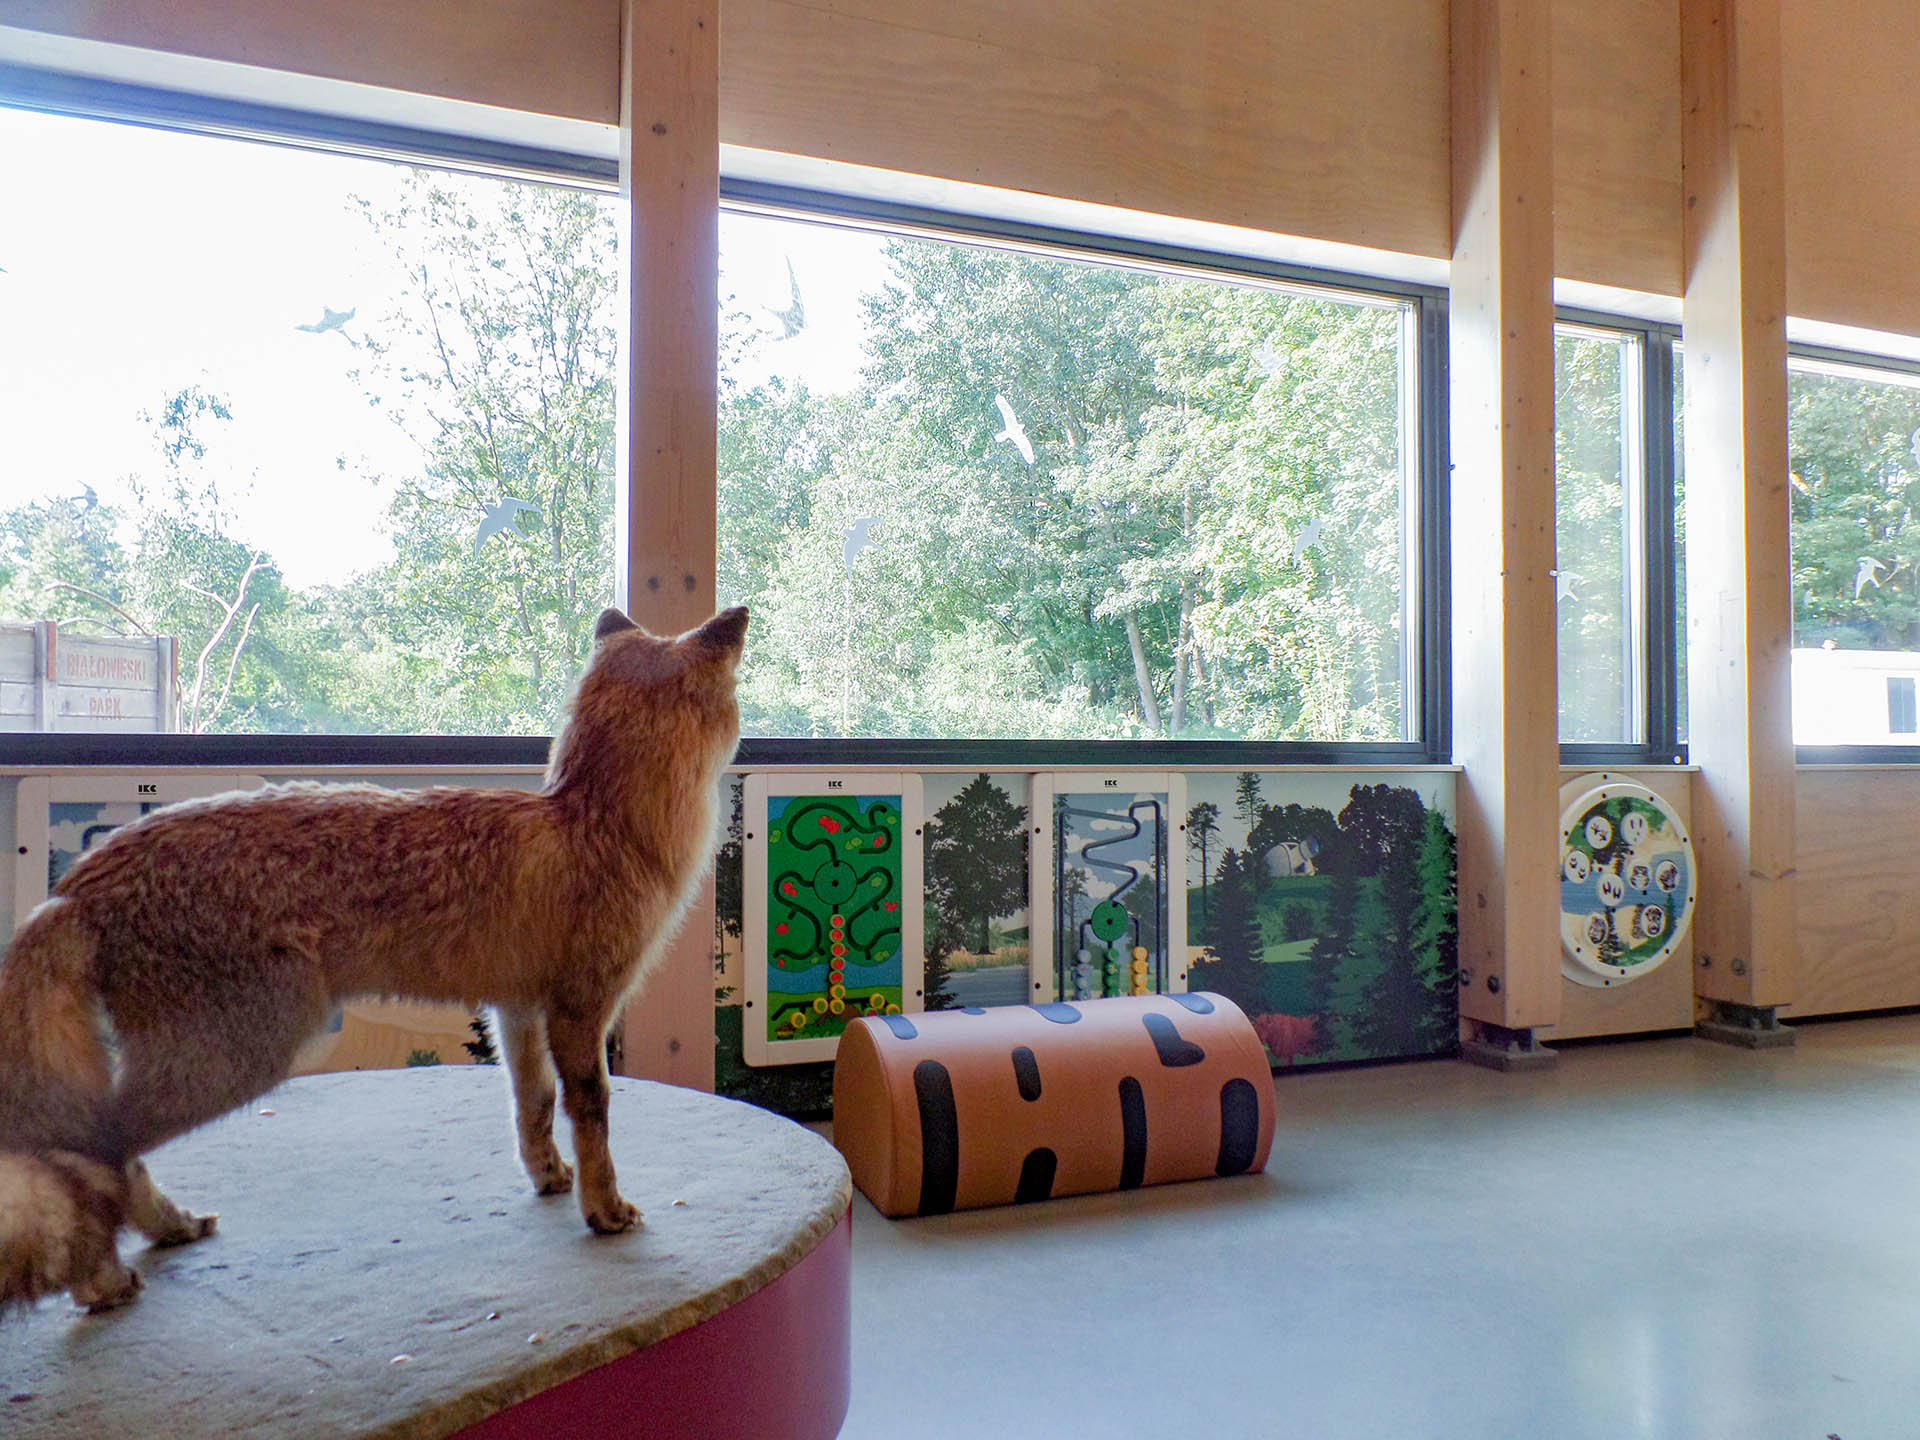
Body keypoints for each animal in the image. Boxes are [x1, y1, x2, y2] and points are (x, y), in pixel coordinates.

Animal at [0, 602, 744, 1313]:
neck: (596, 823)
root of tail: (81, 880)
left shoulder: (516, 1008)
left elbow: (531, 1104)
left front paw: (549, 1179)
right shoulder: (580, 1010)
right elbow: (593, 1113)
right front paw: (603, 1208)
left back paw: (163, 1232)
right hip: (241, 1055)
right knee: (93, 1155)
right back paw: (101, 1279)